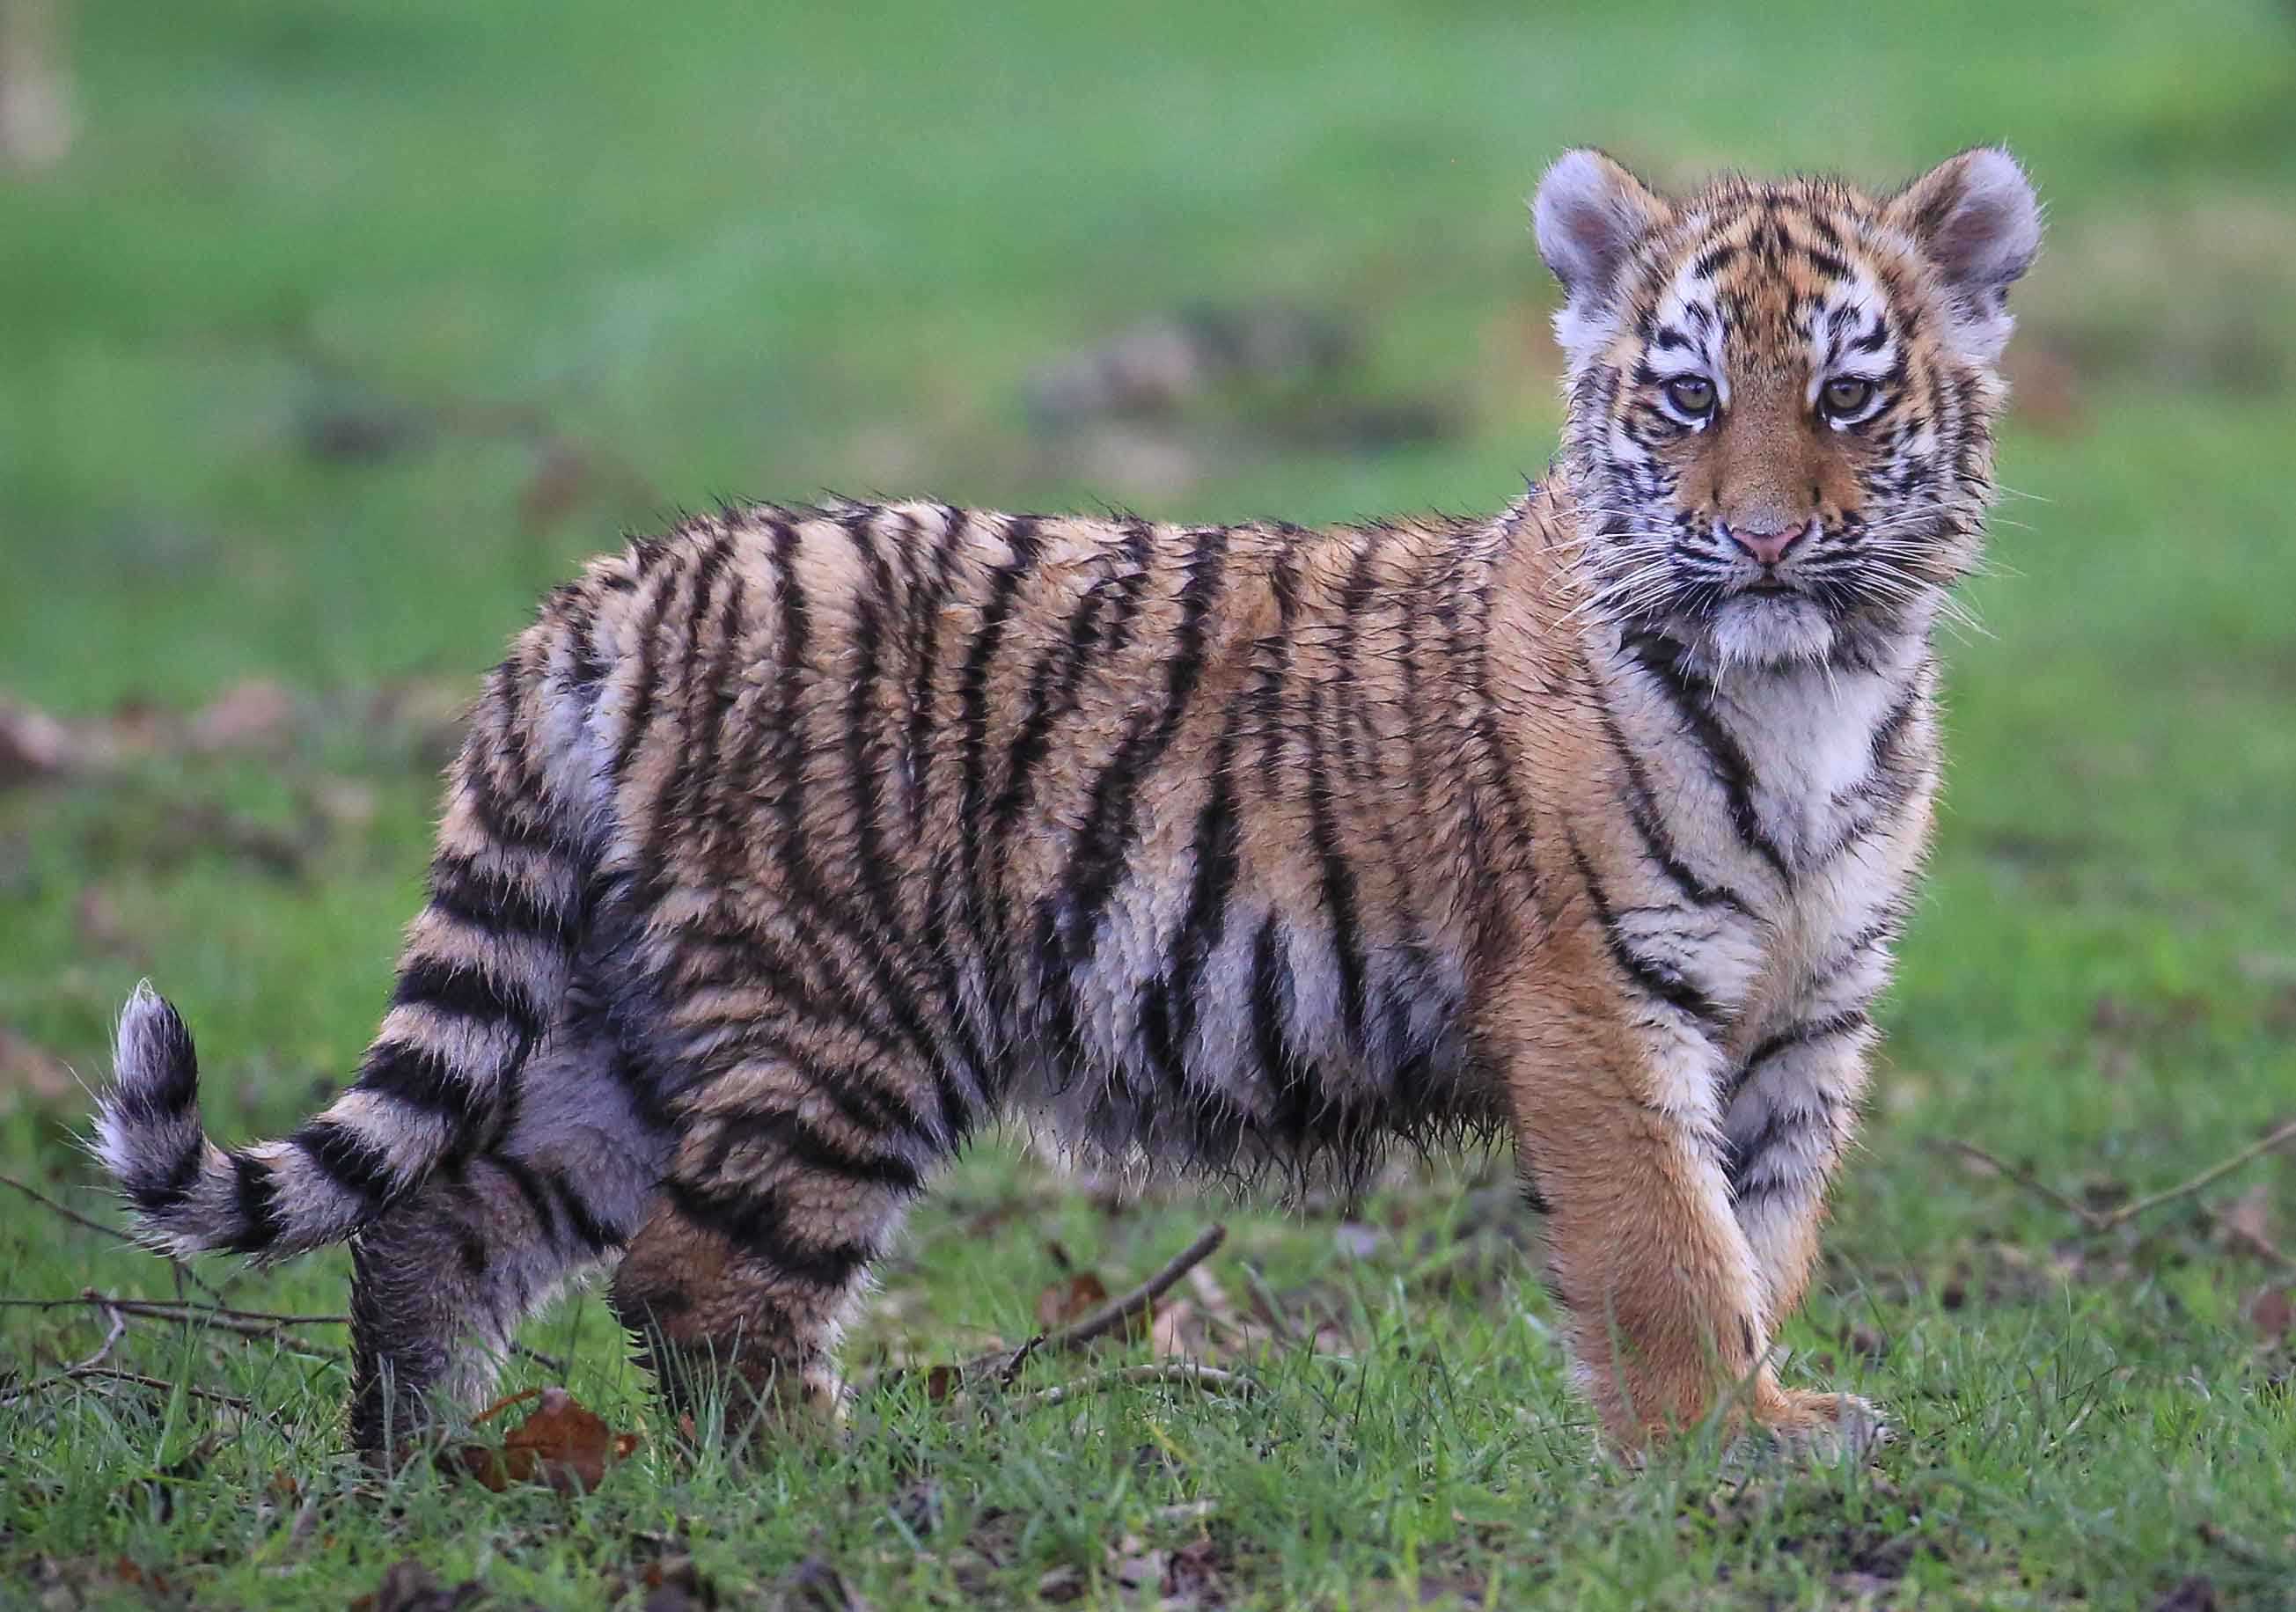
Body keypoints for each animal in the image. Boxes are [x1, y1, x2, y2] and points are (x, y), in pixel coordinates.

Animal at [93, 146, 2039, 1460]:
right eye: (1687, 395)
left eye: (1845, 395)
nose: (1766, 537)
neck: (1810, 689)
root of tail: (624, 581)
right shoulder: (1594, 1006)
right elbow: (1662, 1248)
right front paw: (1717, 1453)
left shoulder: (1806, 1014)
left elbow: (1760, 1233)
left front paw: (1772, 1411)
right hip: (833, 1026)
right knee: (694, 1279)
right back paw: (838, 1479)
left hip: (615, 1019)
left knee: (439, 1220)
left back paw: (413, 1474)